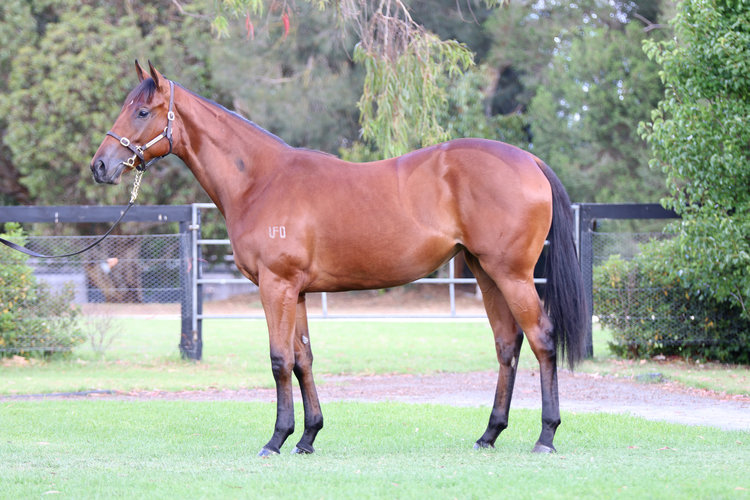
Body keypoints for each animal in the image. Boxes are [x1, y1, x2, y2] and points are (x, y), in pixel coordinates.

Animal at [91, 62, 592, 458]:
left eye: (141, 111)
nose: (100, 166)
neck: (261, 180)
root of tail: (528, 160)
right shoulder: (297, 292)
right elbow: (303, 359)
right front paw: (307, 437)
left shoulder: (276, 286)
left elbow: (279, 360)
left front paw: (276, 439)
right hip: (485, 273)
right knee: (507, 345)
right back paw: (489, 434)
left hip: (512, 275)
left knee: (542, 339)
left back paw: (546, 436)